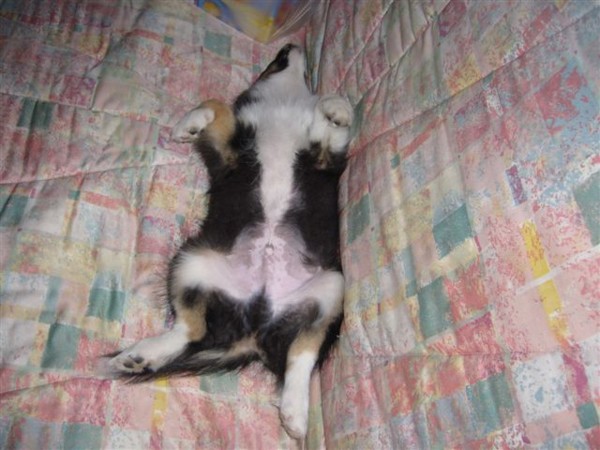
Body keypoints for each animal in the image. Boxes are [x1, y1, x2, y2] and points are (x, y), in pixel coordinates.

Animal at [107, 44, 354, 439]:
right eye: (277, 58)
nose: (291, 44)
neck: (284, 103)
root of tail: (252, 331)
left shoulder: (325, 158)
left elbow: (331, 120)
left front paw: (335, 109)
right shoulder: (230, 151)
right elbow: (217, 105)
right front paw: (188, 125)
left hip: (332, 284)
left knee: (304, 351)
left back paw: (295, 412)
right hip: (191, 260)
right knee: (190, 329)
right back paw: (143, 354)